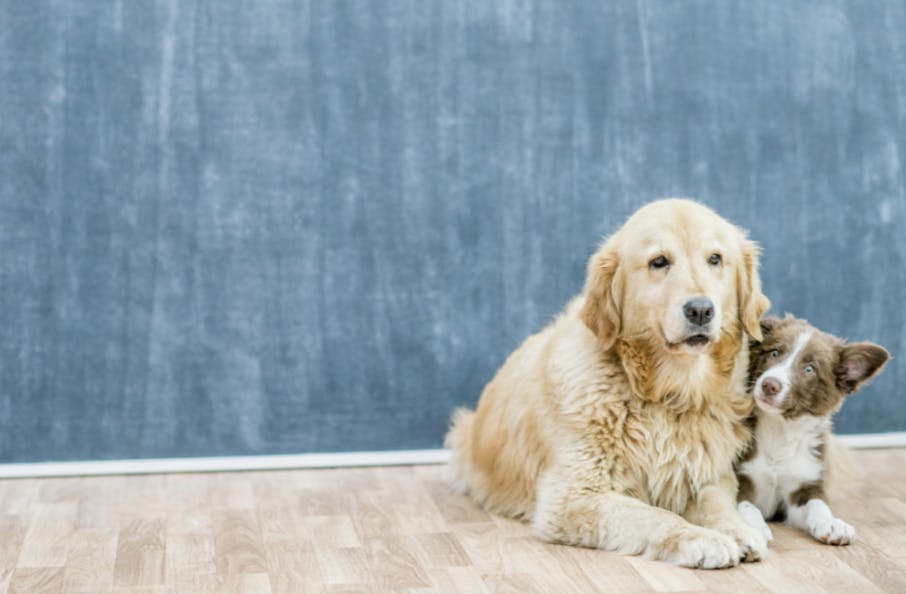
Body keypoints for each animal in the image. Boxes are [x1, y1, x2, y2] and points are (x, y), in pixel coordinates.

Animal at [736, 316, 888, 544]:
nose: (769, 385)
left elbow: (818, 504)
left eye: (809, 370)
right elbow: (745, 507)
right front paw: (752, 528)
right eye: (774, 353)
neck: (781, 430)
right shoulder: (739, 478)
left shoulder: (804, 484)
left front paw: (832, 523)